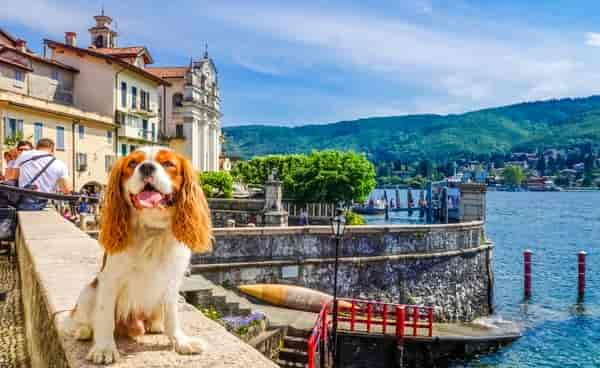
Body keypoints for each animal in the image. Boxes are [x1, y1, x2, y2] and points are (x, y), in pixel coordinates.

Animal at [68, 147, 212, 366]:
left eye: (168, 164)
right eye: (133, 164)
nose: (146, 167)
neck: (151, 230)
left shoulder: (171, 282)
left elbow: (172, 318)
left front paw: (180, 342)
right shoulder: (109, 281)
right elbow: (104, 317)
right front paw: (104, 348)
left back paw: (155, 325)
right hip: (88, 292)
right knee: (84, 318)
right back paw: (84, 330)